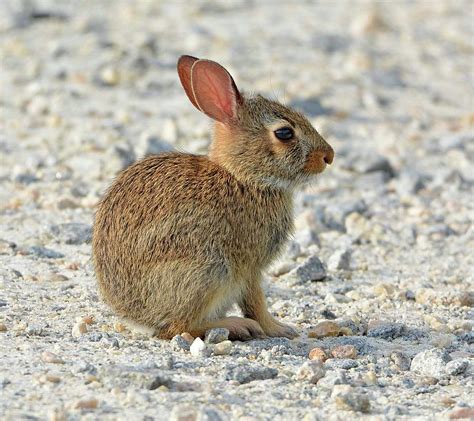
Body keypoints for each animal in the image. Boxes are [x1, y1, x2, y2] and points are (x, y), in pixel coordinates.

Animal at [92, 54, 334, 340]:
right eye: (284, 133)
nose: (329, 156)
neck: (243, 177)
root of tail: (135, 316)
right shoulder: (249, 269)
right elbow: (255, 302)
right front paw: (279, 328)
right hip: (210, 270)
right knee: (179, 327)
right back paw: (236, 325)